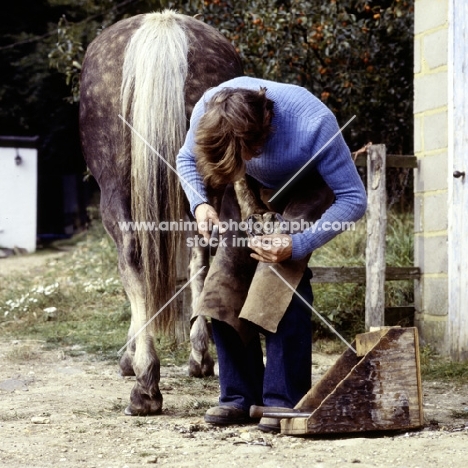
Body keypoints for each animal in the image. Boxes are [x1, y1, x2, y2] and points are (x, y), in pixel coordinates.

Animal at [78, 9, 243, 414]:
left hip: (117, 196)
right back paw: (200, 356)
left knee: (134, 258)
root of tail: (163, 25)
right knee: (206, 250)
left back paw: (145, 385)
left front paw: (130, 358)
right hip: (208, 184)